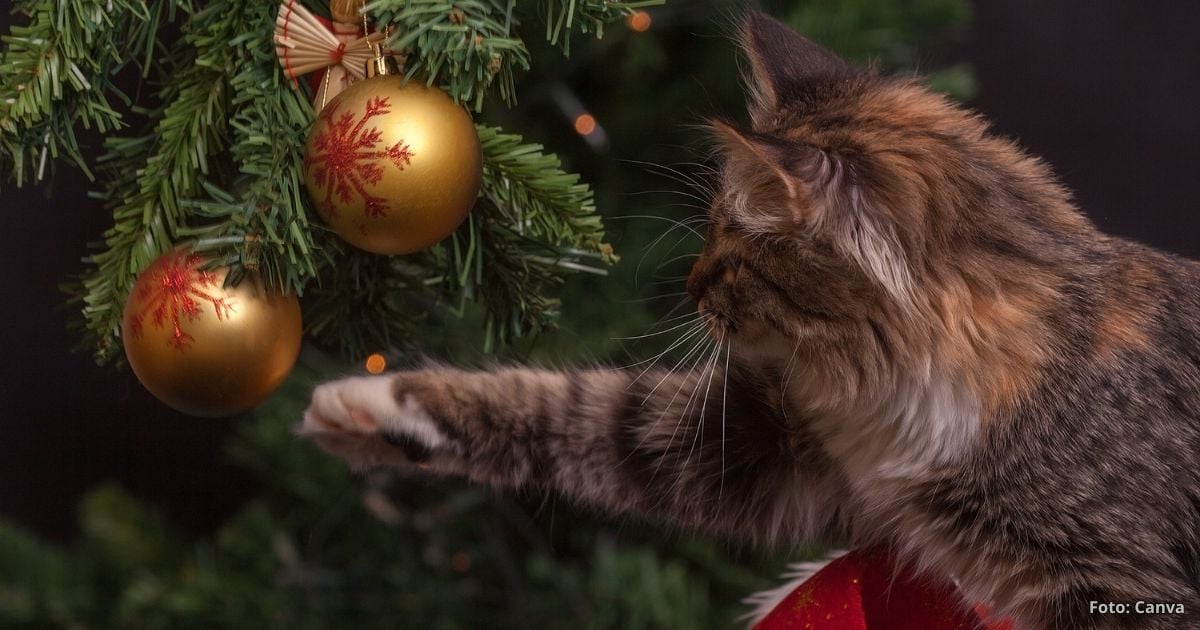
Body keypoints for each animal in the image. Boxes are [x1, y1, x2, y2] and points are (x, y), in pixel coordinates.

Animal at [297, 9, 1200, 628]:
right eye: (708, 234)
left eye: (732, 252)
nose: (692, 286)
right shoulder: (770, 445)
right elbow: (569, 410)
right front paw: (371, 406)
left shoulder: (1120, 585)